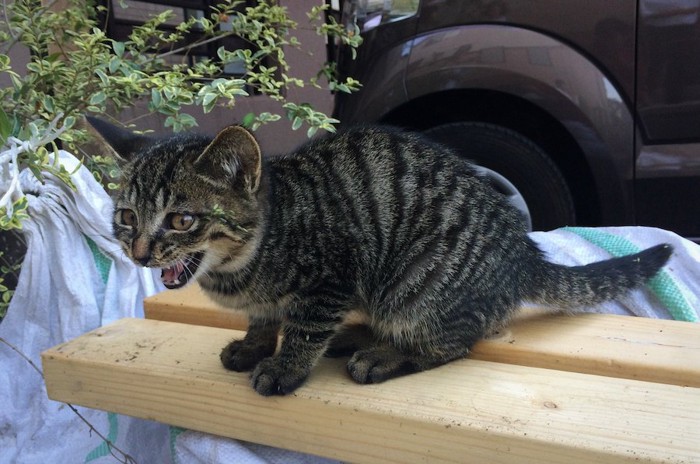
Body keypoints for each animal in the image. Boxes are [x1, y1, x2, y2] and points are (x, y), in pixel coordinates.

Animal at [94, 118, 672, 396]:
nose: (140, 251)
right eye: (126, 217)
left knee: (453, 342)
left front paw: (284, 366)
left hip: (412, 288)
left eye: (181, 220)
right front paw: (256, 344)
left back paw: (380, 355)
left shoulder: (330, 280)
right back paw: (356, 337)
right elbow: (266, 318)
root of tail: (522, 251)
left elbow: (303, 328)